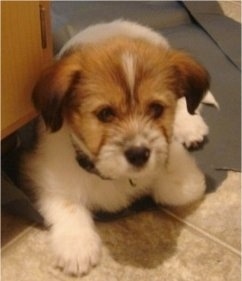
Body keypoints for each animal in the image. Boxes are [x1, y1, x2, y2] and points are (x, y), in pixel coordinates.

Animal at [22, 20, 212, 276]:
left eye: (156, 109)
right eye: (105, 114)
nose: (139, 154)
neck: (110, 176)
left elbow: (179, 189)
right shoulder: (43, 174)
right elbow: (67, 203)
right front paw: (77, 244)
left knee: (187, 103)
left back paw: (191, 126)